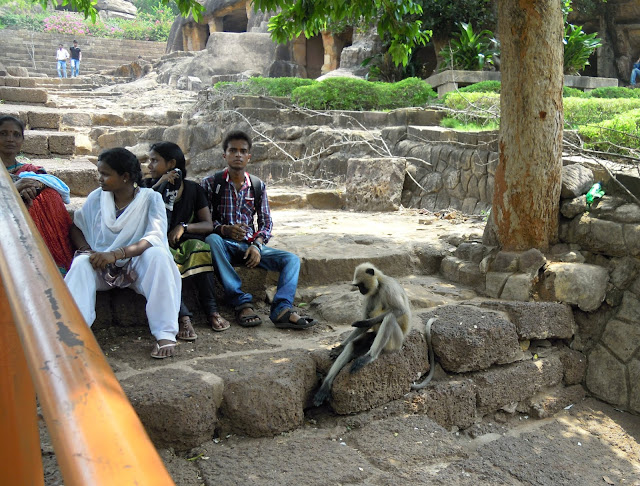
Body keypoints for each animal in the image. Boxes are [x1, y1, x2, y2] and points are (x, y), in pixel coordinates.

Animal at [314, 262, 412, 406]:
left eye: (361, 285)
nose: (360, 290)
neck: (379, 286)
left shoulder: (389, 287)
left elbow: (400, 310)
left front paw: (364, 322)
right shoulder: (370, 295)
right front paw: (340, 347)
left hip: (395, 342)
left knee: (389, 318)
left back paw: (369, 357)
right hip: (373, 337)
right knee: (353, 345)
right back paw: (325, 386)